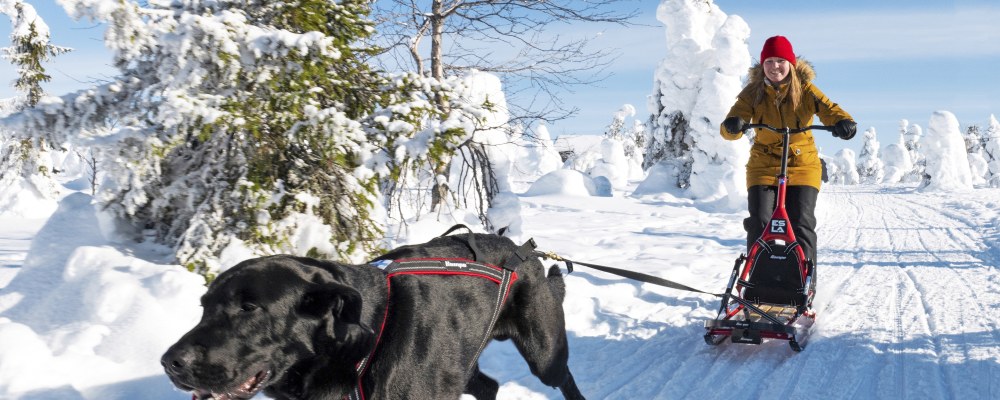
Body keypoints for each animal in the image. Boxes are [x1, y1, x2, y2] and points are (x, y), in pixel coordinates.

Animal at [161, 233, 584, 398]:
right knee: (488, 386)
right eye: (204, 306)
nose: (170, 362)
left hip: (543, 354)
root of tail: (524, 251)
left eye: (249, 308)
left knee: (564, 380)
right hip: (460, 363)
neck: (360, 352)